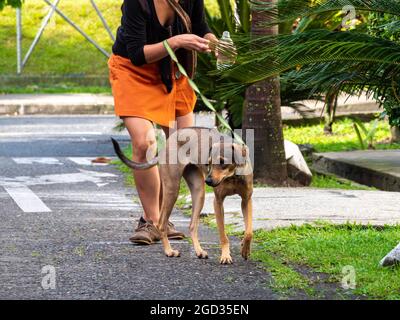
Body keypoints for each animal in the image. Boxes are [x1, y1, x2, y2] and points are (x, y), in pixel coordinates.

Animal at [110, 126, 253, 264]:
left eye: (223, 162)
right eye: (209, 163)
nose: (208, 181)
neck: (233, 176)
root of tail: (168, 141)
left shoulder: (246, 200)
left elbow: (249, 231)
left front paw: (245, 250)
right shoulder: (218, 202)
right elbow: (223, 236)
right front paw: (225, 256)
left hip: (198, 192)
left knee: (192, 226)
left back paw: (199, 251)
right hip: (172, 189)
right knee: (161, 224)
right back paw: (169, 251)